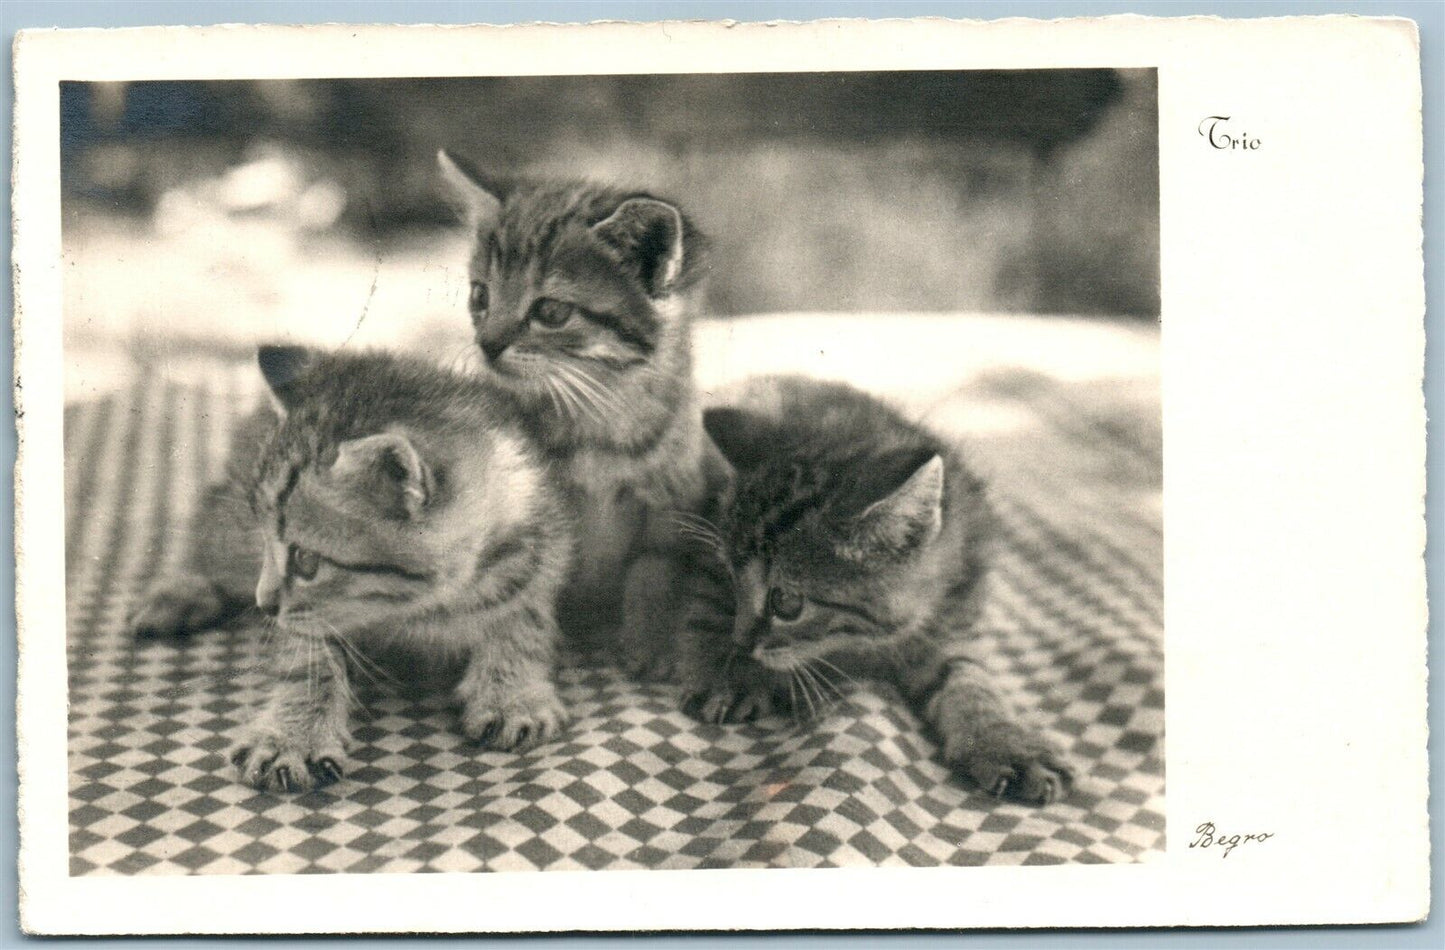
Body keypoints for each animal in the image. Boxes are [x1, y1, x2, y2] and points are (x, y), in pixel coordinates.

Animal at [132, 344, 569, 786]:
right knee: (210, 528)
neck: (422, 606)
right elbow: (307, 660)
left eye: (306, 559)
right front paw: (294, 735)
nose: (264, 604)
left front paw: (512, 693)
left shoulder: (538, 551)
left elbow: (523, 621)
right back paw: (182, 591)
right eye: (267, 541)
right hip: (231, 526)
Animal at [430, 151, 719, 676]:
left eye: (551, 312)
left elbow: (655, 568)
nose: (487, 345)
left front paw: (651, 640)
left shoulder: (674, 495)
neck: (595, 417)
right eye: (480, 296)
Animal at [676, 373, 1075, 803]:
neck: (861, 645)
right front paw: (729, 672)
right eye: (731, 575)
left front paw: (1003, 741)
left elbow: (969, 677)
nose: (742, 642)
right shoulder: (705, 562)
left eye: (786, 602)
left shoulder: (953, 617)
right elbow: (706, 605)